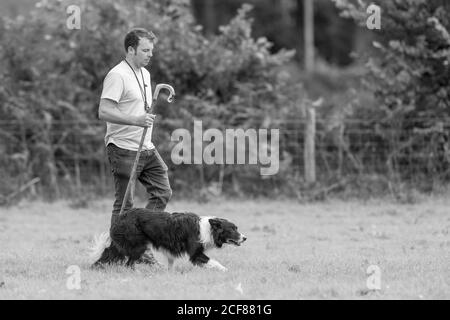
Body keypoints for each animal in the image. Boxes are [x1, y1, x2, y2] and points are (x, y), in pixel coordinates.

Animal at [89, 209, 246, 272]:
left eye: (236, 228)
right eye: (232, 229)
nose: (245, 238)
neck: (208, 228)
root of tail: (120, 217)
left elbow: (171, 262)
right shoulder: (195, 253)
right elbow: (213, 262)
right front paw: (225, 270)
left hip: (123, 245)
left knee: (107, 255)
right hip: (137, 246)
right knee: (128, 263)